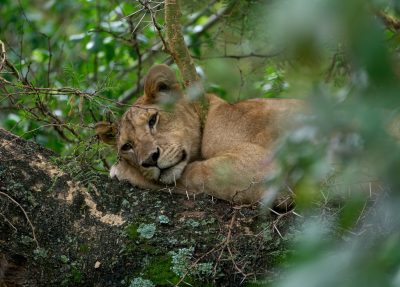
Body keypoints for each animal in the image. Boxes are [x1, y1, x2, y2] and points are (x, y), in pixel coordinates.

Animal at [96, 64, 300, 205]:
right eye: (127, 146)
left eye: (152, 120)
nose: (149, 160)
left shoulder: (262, 169)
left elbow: (195, 173)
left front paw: (123, 170)